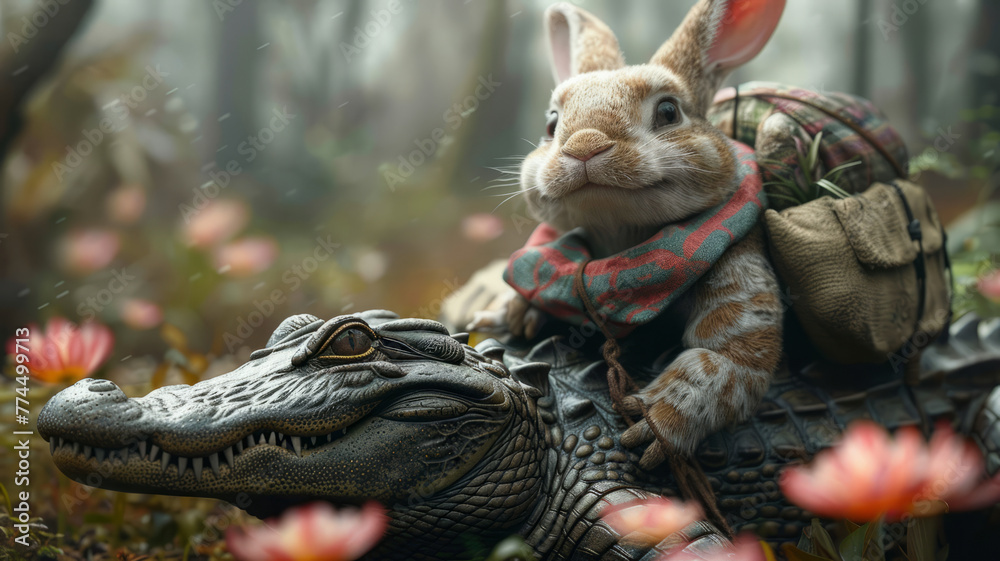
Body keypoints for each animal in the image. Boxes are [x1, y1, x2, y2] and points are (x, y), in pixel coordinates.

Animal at [470, 0, 786, 469]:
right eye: (551, 124)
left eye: (669, 112)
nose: (584, 146)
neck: (623, 248)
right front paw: (510, 315)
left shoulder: (739, 267)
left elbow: (724, 361)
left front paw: (655, 422)